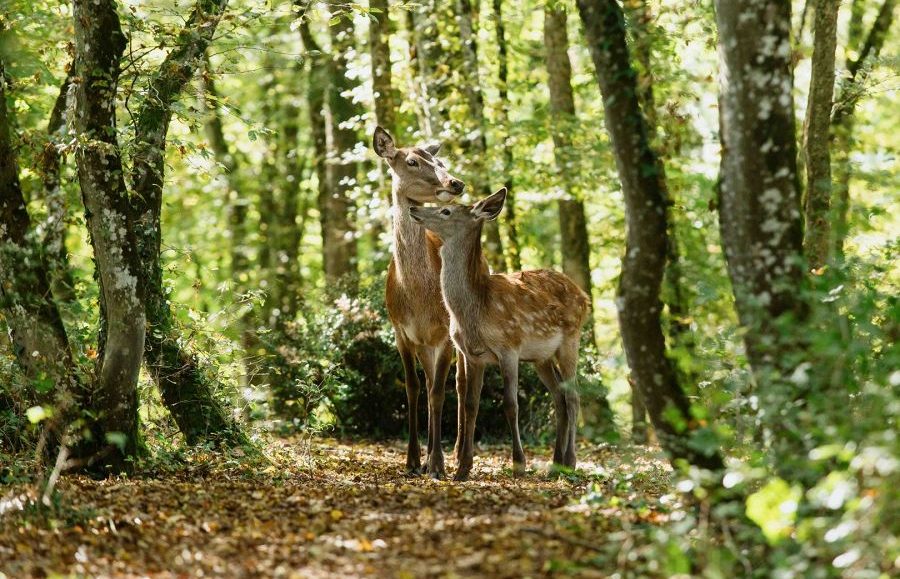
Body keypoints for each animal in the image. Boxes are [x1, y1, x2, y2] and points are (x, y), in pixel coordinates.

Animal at [374, 127, 468, 480]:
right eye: (412, 161)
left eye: (439, 160)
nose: (456, 183)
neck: (417, 296)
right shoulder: (400, 331)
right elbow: (414, 388)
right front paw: (413, 460)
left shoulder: (444, 333)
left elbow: (440, 391)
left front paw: (438, 464)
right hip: (424, 344)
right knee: (428, 384)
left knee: (459, 385)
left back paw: (456, 453)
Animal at [410, 189, 592, 480]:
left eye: (446, 211)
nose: (414, 209)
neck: (476, 309)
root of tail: (584, 296)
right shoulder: (472, 355)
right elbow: (470, 404)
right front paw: (463, 468)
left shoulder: (509, 347)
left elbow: (510, 404)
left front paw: (519, 464)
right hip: (541, 357)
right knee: (559, 397)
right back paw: (555, 465)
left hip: (571, 339)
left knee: (573, 397)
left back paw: (571, 462)